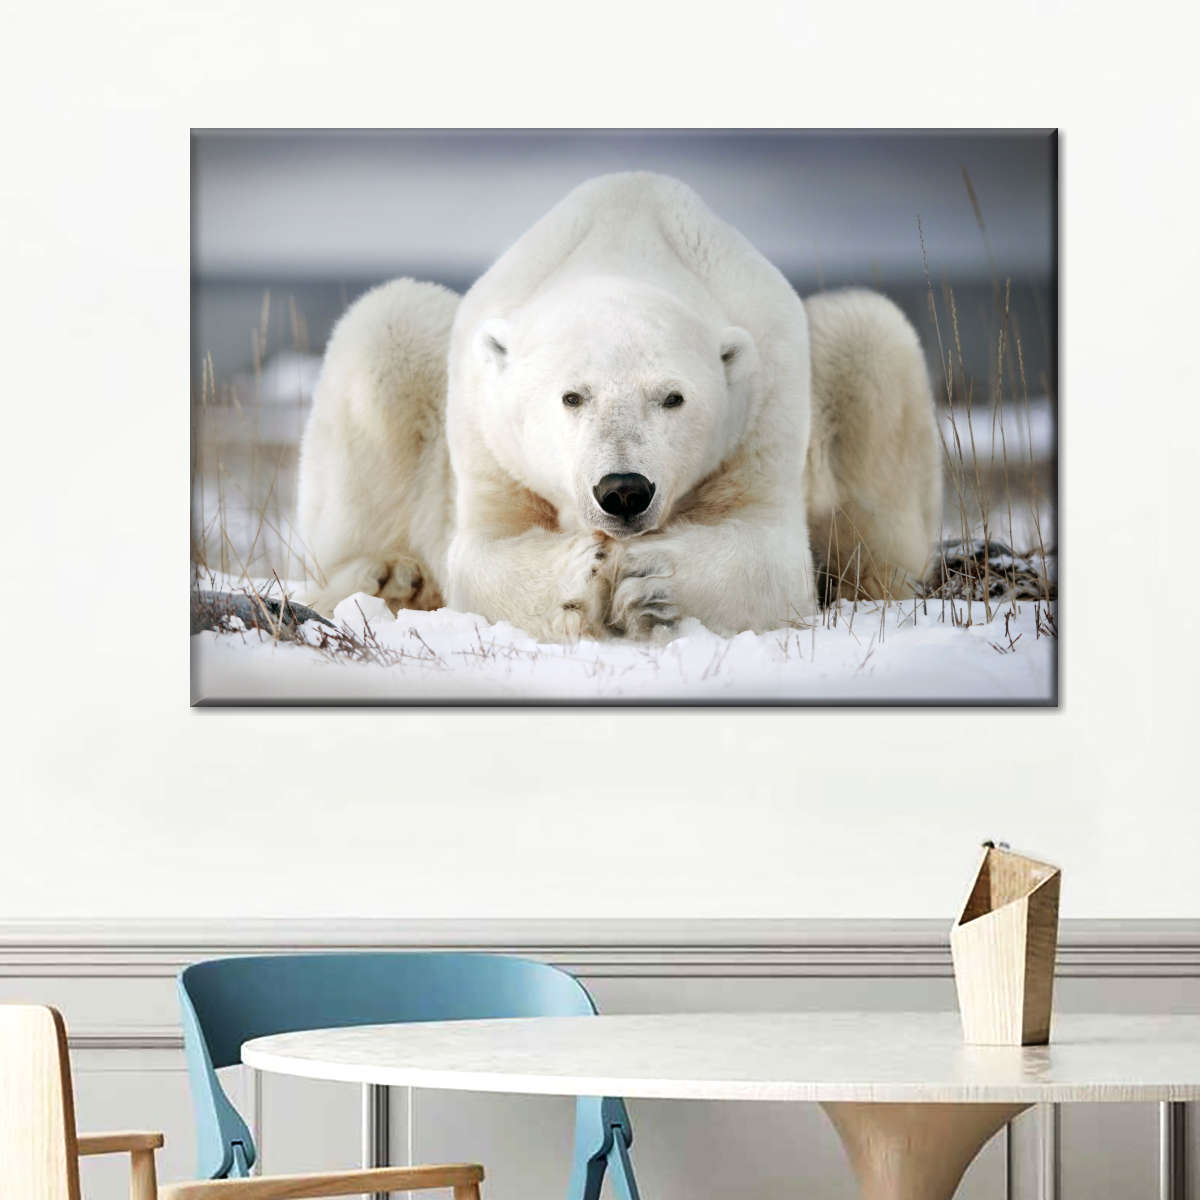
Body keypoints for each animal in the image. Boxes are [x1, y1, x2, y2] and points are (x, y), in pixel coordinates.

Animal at [296, 173, 942, 639]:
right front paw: (582, 574)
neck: (625, 242)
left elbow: (771, 553)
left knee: (869, 340)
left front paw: (648, 579)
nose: (624, 490)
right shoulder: (488, 434)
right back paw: (389, 578)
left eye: (673, 397)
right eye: (572, 396)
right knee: (387, 330)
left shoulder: (765, 402)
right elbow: (482, 552)